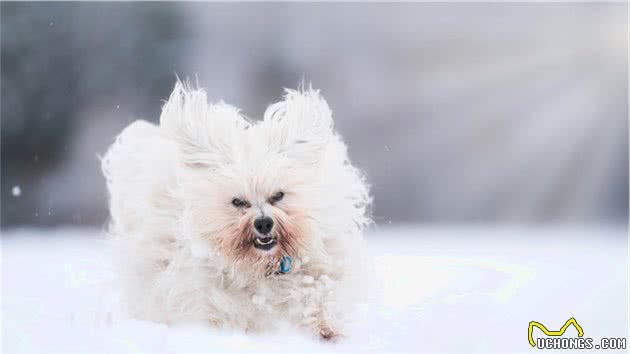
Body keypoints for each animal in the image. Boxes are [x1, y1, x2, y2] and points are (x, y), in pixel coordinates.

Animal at [102, 80, 372, 340]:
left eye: (278, 195)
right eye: (238, 202)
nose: (263, 223)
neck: (264, 263)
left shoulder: (322, 255)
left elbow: (320, 289)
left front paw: (327, 327)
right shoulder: (205, 283)